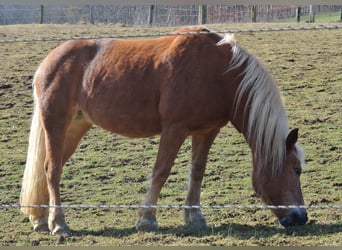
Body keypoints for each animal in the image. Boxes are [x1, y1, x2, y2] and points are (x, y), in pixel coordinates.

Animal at [20, 27, 308, 236]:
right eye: (296, 169)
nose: (301, 217)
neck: (220, 72)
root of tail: (47, 63)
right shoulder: (174, 129)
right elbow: (161, 171)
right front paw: (147, 219)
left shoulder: (207, 131)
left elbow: (197, 172)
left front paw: (194, 217)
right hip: (55, 125)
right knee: (52, 170)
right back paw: (59, 224)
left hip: (74, 129)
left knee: (48, 170)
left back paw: (41, 219)